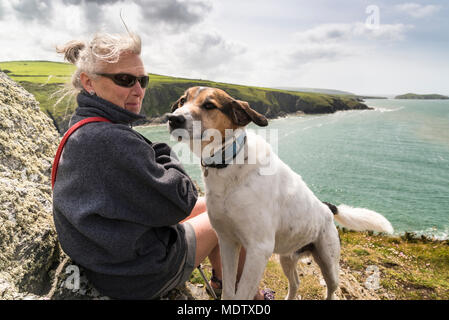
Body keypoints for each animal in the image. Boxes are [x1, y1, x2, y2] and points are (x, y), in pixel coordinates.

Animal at [167, 85, 392, 300]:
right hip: (287, 256)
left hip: (329, 263)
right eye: (182, 101)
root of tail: (326, 208)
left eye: (209, 105)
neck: (229, 163)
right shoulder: (227, 241)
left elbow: (242, 293)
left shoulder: (259, 249)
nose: (172, 118)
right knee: (295, 284)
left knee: (331, 291)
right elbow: (229, 291)